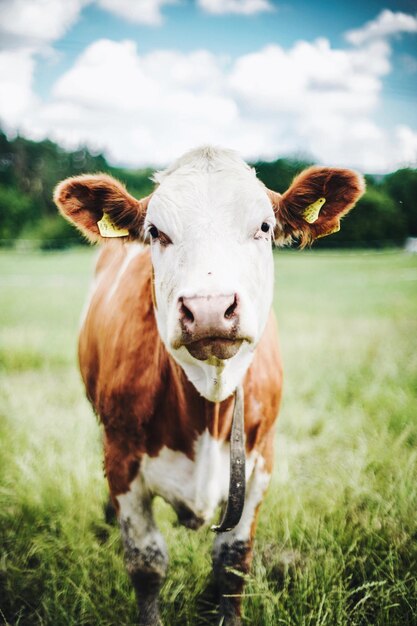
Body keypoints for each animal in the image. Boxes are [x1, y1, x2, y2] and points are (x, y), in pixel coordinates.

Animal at [54, 147, 364, 624]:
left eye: (264, 227)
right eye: (155, 232)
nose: (209, 309)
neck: (208, 403)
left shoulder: (260, 461)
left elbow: (233, 561)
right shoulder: (123, 459)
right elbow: (146, 563)